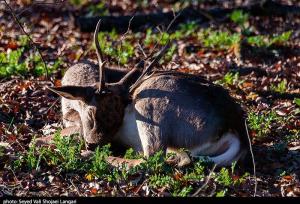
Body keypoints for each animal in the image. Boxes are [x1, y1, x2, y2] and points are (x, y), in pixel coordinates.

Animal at [46, 19, 251, 168]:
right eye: (92, 114)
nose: (94, 144)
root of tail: (236, 131)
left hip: (151, 106)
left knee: (152, 158)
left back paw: (90, 155)